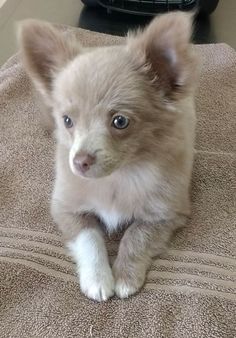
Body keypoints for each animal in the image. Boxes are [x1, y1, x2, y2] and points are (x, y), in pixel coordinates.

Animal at [18, 11, 199, 302]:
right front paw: (98, 278)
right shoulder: (65, 208)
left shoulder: (166, 214)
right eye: (67, 121)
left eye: (120, 121)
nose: (79, 162)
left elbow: (136, 235)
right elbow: (90, 238)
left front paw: (125, 277)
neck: (119, 176)